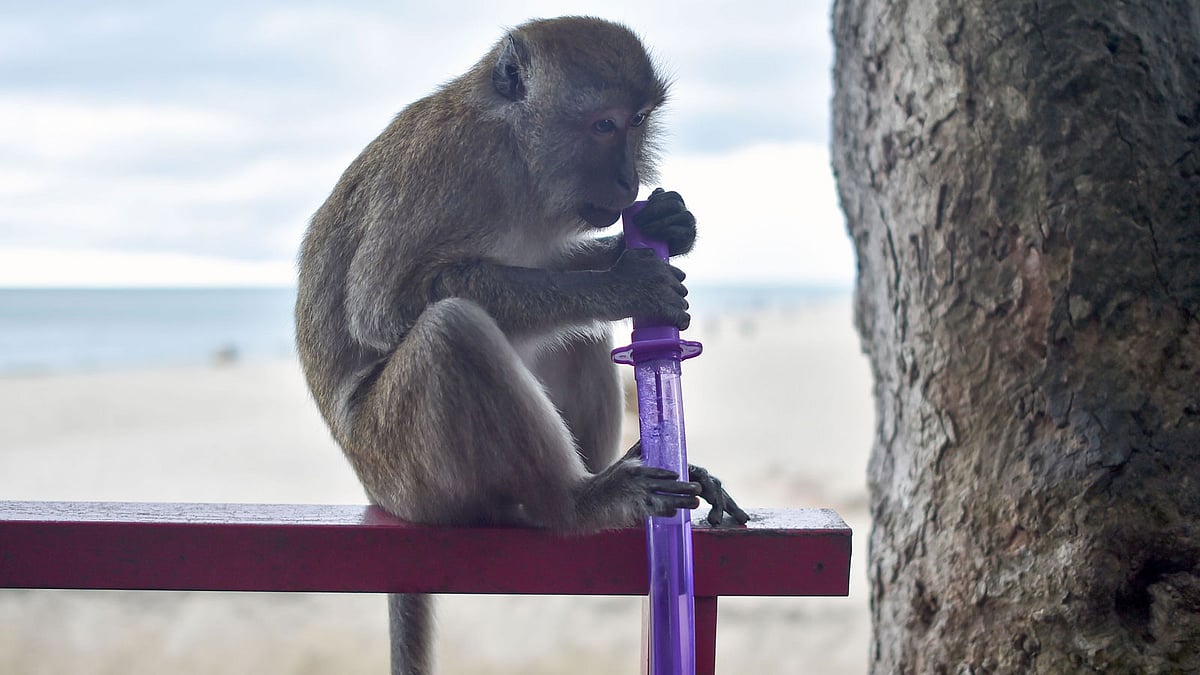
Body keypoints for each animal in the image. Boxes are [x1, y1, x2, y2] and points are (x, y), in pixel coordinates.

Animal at [294, 16, 747, 675]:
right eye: (604, 124)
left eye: (638, 121)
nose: (630, 180)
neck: (516, 154)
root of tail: (373, 490)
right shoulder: (452, 168)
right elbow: (385, 307)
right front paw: (625, 282)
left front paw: (663, 229)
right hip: (404, 470)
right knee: (452, 331)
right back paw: (576, 502)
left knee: (577, 334)